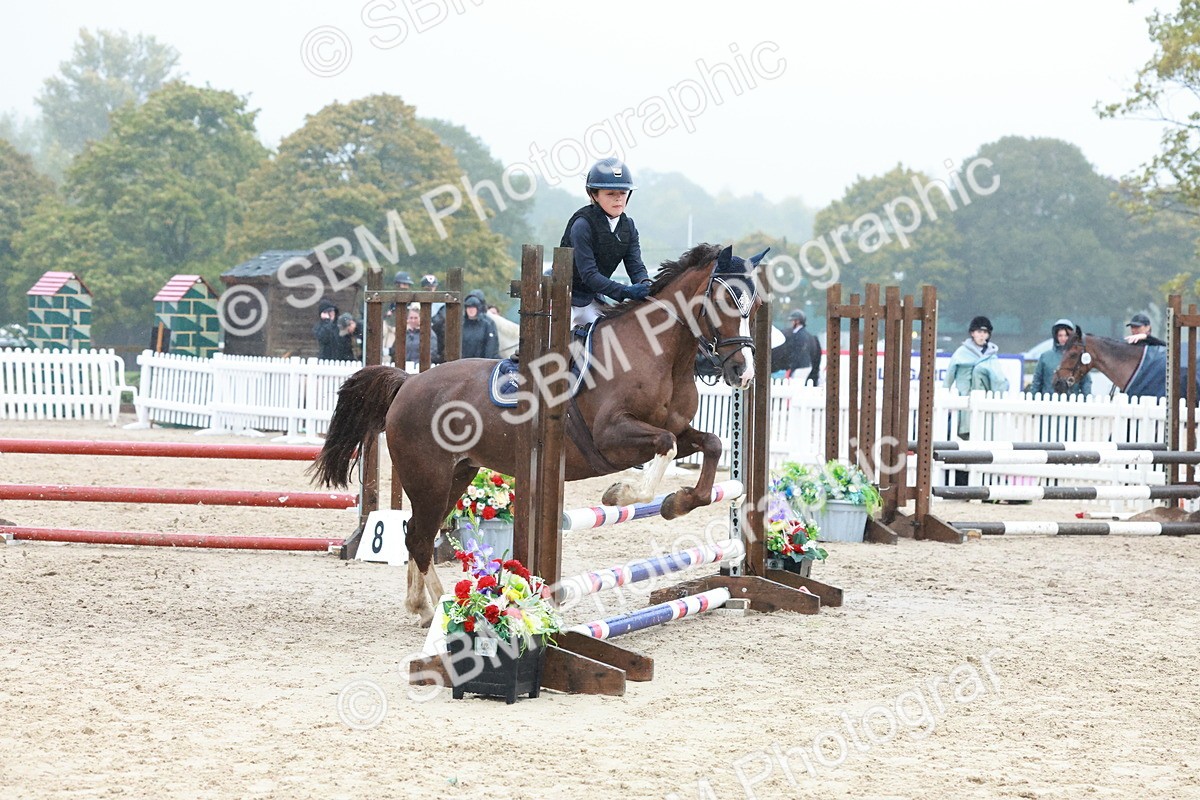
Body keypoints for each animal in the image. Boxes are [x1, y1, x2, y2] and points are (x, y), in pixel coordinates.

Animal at [310, 243, 768, 625]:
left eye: (755, 305)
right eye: (726, 300)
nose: (743, 372)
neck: (662, 357)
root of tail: (408, 383)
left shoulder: (674, 427)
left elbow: (711, 444)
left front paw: (677, 503)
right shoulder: (613, 436)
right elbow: (666, 448)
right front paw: (619, 494)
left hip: (457, 474)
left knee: (413, 533)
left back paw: (420, 606)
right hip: (429, 478)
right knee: (420, 538)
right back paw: (438, 607)